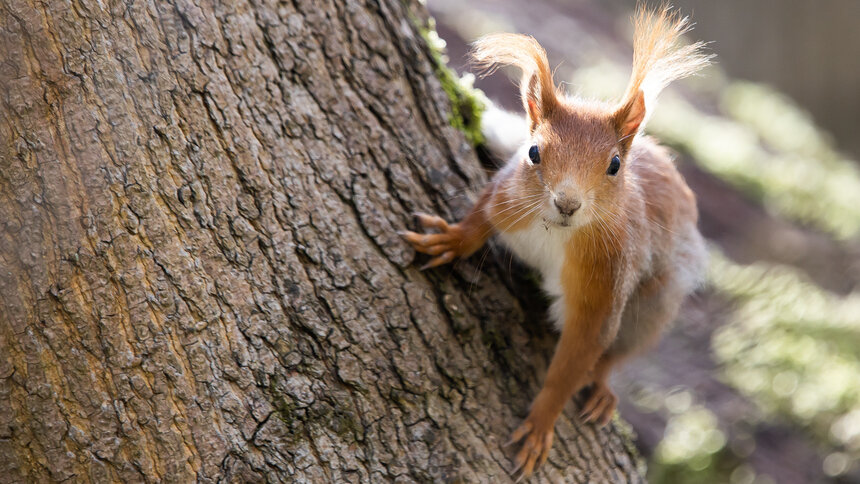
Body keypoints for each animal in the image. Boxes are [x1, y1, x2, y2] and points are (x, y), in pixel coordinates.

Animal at [404, 5, 712, 478]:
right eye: (533, 152)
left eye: (615, 165)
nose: (567, 203)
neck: (554, 233)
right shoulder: (507, 197)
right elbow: (480, 217)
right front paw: (452, 241)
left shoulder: (604, 287)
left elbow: (576, 359)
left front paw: (541, 422)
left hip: (655, 300)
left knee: (622, 348)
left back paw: (602, 387)